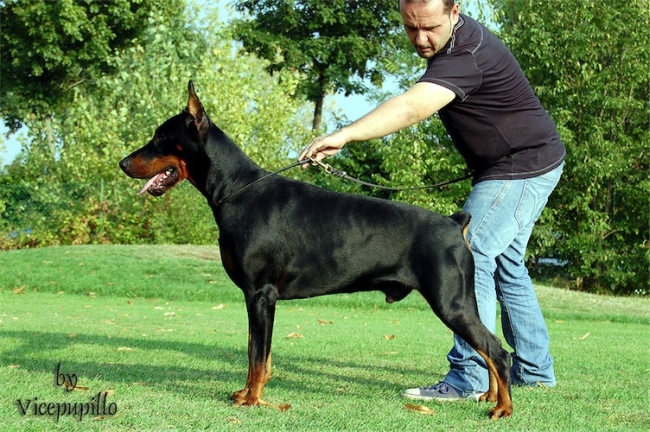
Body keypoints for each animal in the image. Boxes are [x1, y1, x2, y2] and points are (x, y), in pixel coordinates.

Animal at [119, 81, 512, 419]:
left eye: (160, 138)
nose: (123, 163)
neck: (235, 191)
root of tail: (454, 222)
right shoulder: (254, 297)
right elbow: (255, 351)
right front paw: (246, 393)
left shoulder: (260, 294)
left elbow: (257, 356)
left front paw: (252, 400)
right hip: (461, 301)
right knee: (490, 348)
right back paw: (490, 396)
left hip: (451, 302)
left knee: (497, 351)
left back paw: (503, 408)